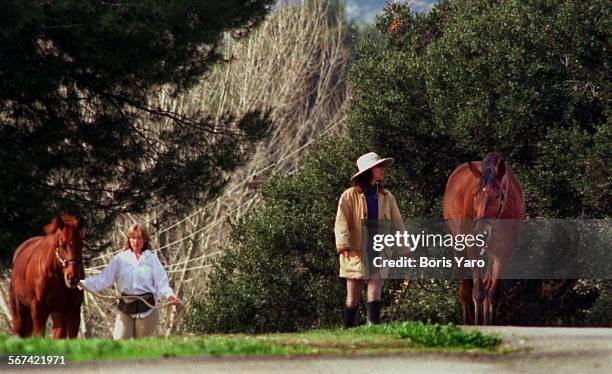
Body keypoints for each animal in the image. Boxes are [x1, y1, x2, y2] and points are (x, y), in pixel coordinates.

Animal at [442, 152, 524, 324]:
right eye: (475, 195)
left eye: (497, 195)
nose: (481, 231)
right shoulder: (472, 246)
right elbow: (478, 291)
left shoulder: (504, 251)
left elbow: (493, 293)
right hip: (458, 244)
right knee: (465, 290)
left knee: (487, 285)